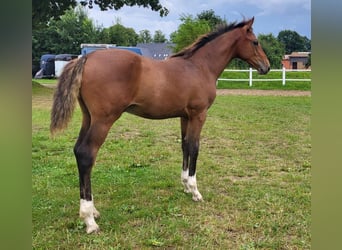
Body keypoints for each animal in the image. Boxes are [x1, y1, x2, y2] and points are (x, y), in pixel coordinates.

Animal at [50, 18, 270, 234]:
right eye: (255, 42)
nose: (266, 67)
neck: (200, 67)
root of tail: (86, 58)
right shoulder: (199, 115)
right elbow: (195, 148)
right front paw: (195, 191)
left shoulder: (185, 117)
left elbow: (185, 146)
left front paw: (185, 186)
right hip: (103, 120)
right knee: (87, 154)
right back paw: (89, 220)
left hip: (88, 118)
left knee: (78, 150)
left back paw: (93, 211)